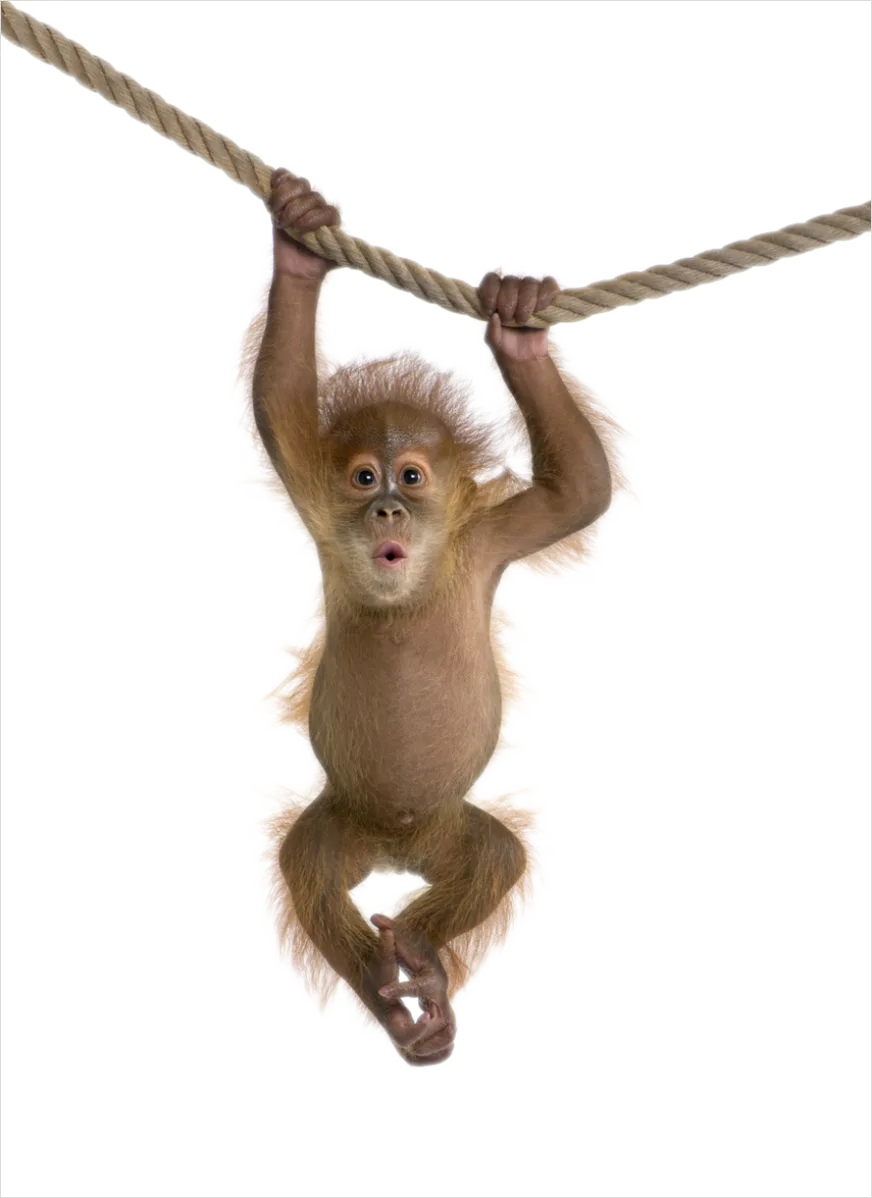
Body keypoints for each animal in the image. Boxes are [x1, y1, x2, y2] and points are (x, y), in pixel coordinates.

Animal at [248, 168, 619, 1066]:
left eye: (411, 477)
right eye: (363, 479)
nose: (386, 509)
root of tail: (398, 844)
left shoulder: (488, 539)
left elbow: (579, 490)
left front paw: (517, 328)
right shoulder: (316, 498)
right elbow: (278, 403)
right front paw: (300, 244)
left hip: (448, 832)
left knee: (495, 858)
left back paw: (418, 960)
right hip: (345, 823)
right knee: (309, 871)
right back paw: (393, 998)